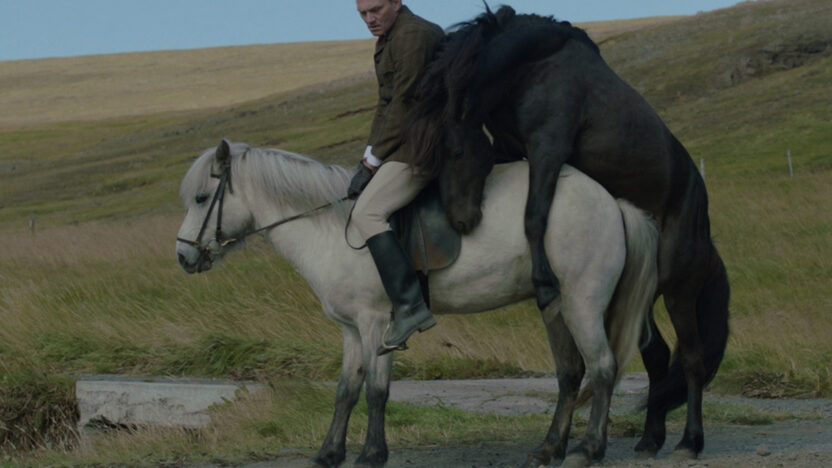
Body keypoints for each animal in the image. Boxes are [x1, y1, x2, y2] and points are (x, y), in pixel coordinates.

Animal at [176, 139, 658, 467]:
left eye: (201, 198)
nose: (183, 257)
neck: (331, 229)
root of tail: (610, 201)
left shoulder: (377, 323)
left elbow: (376, 389)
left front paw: (372, 453)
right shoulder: (351, 329)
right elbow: (345, 390)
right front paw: (329, 453)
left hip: (583, 304)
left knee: (602, 368)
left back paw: (588, 448)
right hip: (555, 306)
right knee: (570, 374)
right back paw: (548, 449)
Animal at [403, 5, 730, 461]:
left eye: (453, 151)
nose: (462, 221)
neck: (533, 65)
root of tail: (706, 234)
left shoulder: (548, 147)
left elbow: (534, 213)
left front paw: (543, 281)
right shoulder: (511, 147)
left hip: (680, 292)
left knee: (693, 360)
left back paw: (689, 442)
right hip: (643, 298)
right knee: (658, 356)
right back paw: (649, 439)